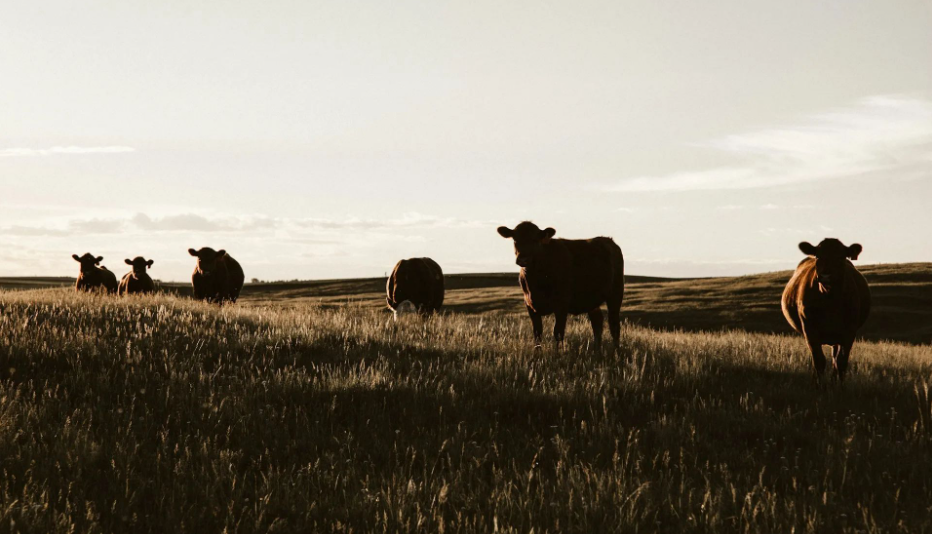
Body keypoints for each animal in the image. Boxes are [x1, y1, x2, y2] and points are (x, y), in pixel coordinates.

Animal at [496, 221, 628, 350]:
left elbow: (558, 333)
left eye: (535, 240)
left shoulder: (561, 304)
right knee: (597, 323)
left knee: (614, 324)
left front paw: (558, 354)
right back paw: (597, 351)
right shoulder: (530, 305)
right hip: (591, 299)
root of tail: (608, 240)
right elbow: (537, 334)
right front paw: (537, 355)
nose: (523, 259)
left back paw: (616, 351)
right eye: (515, 239)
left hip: (616, 293)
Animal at [784, 240, 872, 386]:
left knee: (835, 358)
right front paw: (819, 386)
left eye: (841, 257)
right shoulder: (809, 328)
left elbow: (841, 362)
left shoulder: (849, 330)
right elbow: (819, 360)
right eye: (818, 256)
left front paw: (840, 387)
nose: (825, 275)